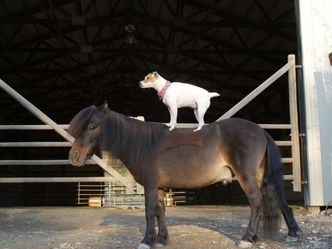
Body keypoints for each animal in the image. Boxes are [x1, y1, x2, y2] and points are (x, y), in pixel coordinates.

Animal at [68, 102, 300, 248]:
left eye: (92, 126)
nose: (74, 157)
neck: (144, 144)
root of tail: (261, 131)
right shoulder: (159, 187)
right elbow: (160, 211)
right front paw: (161, 239)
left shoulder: (150, 185)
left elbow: (149, 211)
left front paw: (146, 240)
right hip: (261, 175)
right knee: (274, 200)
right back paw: (284, 233)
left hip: (247, 176)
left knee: (256, 202)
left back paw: (247, 238)